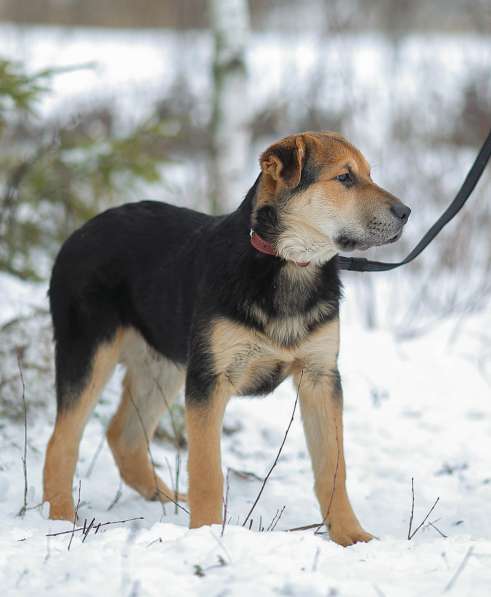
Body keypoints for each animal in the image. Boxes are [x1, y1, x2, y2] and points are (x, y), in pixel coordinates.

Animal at [43, 129, 412, 544]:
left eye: (369, 174)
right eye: (345, 178)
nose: (406, 212)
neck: (287, 263)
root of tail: (78, 232)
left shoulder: (321, 376)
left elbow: (333, 466)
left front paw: (350, 534)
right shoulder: (210, 380)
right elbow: (207, 471)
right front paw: (205, 534)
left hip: (163, 365)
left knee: (125, 436)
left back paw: (166, 499)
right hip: (90, 353)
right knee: (61, 442)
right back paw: (60, 519)